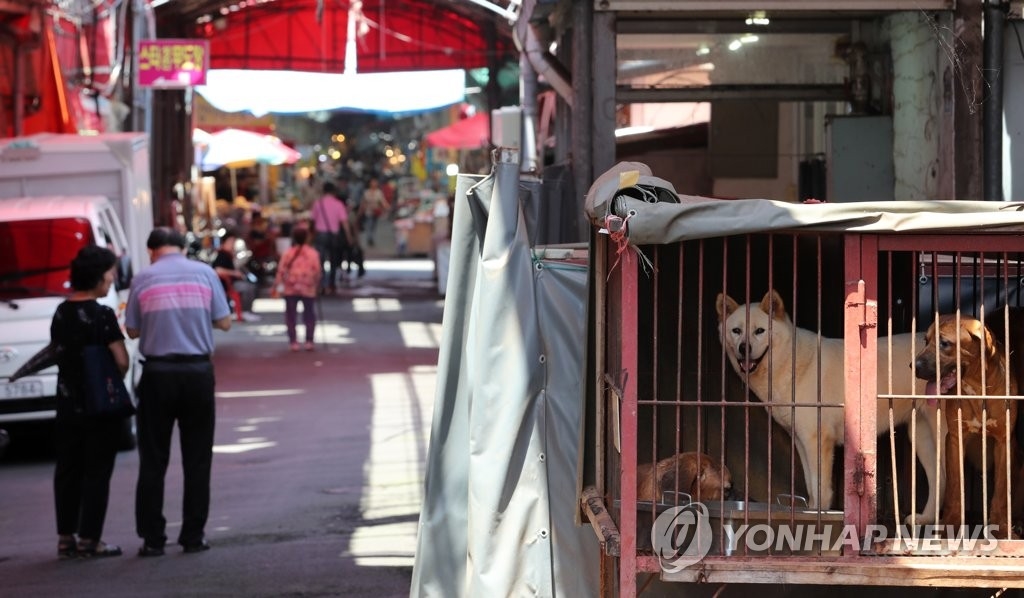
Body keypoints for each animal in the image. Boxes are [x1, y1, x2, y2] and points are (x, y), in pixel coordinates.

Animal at [712, 286, 942, 520]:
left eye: (759, 330)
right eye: (736, 331)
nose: (744, 348)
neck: (789, 363)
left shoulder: (818, 439)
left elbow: (820, 485)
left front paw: (818, 515)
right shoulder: (801, 440)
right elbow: (811, 485)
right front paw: (810, 510)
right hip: (921, 437)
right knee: (938, 479)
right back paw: (925, 519)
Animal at [917, 313, 1019, 536]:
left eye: (944, 343)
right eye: (925, 341)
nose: (914, 366)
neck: (977, 386)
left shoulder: (1004, 441)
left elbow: (1001, 490)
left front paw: (1002, 528)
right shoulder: (955, 438)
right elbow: (955, 487)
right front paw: (950, 524)